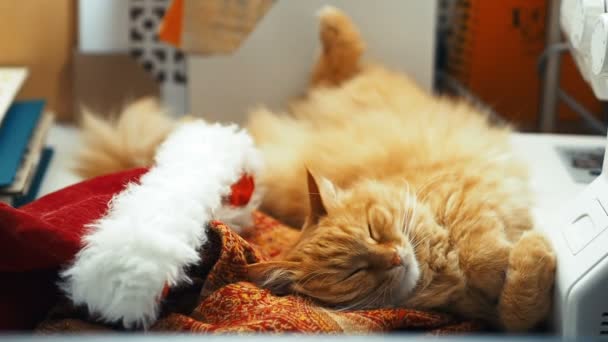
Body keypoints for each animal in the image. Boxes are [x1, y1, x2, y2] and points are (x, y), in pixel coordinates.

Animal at [246, 6, 556, 332]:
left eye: (372, 230)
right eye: (355, 272)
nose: (394, 258)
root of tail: (309, 107)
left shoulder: (464, 194)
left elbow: (483, 256)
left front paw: (511, 255)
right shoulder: (482, 314)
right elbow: (516, 312)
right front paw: (529, 251)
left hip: (350, 85)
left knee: (340, 63)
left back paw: (332, 21)